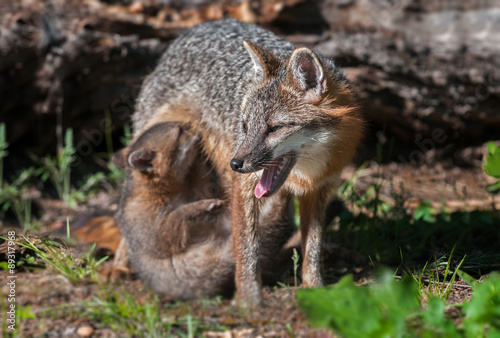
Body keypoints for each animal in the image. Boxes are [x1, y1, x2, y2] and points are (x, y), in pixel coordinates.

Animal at [131, 19, 362, 306]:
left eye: (275, 128)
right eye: (245, 126)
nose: (235, 164)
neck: (306, 172)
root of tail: (202, 26)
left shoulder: (319, 191)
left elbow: (312, 250)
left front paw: (315, 289)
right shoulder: (243, 188)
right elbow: (246, 248)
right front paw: (249, 301)